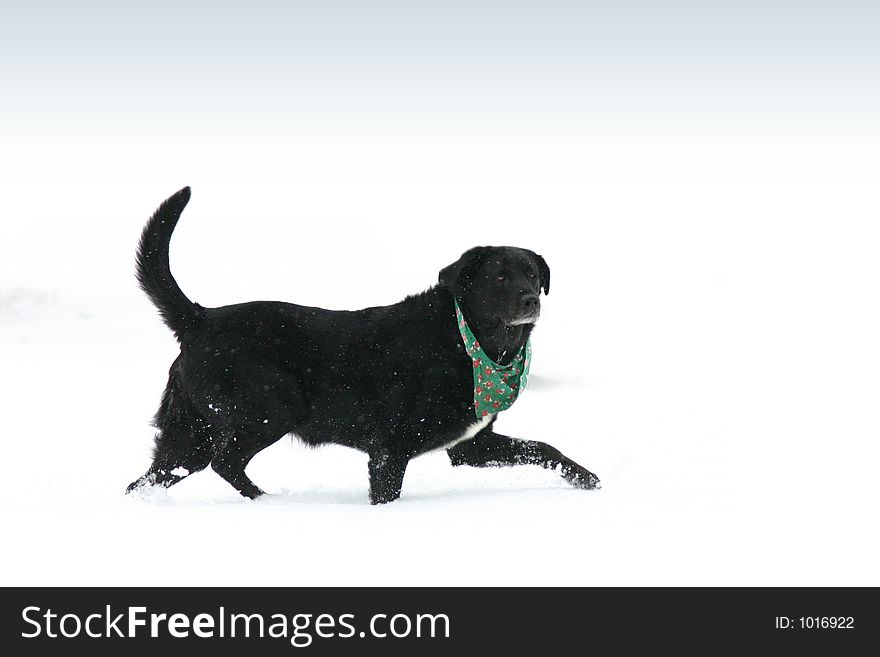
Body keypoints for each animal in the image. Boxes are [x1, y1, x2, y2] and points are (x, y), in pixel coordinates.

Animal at [127, 187, 600, 504]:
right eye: (500, 276)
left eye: (533, 274)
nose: (531, 299)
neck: (466, 341)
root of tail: (201, 318)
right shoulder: (390, 450)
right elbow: (386, 493)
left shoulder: (472, 446)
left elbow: (544, 448)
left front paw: (587, 480)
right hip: (272, 406)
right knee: (225, 462)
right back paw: (266, 501)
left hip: (188, 435)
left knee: (150, 478)